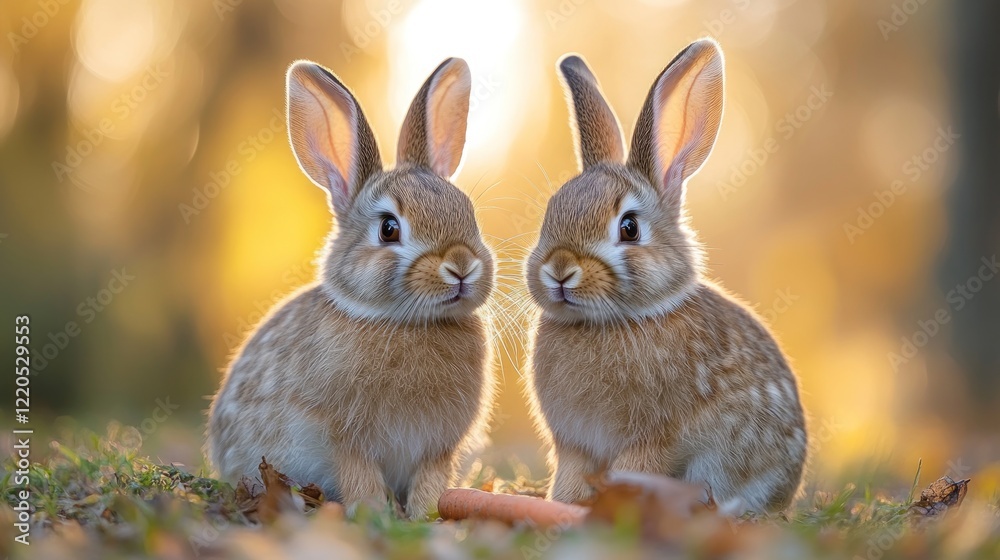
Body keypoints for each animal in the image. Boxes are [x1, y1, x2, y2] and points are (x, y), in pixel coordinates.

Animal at [207, 57, 496, 520]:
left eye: (468, 212)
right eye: (389, 229)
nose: (461, 266)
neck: (409, 322)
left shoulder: (436, 447)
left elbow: (431, 480)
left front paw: (427, 515)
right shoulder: (346, 436)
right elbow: (359, 473)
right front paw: (373, 512)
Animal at [524, 39, 807, 514]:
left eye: (629, 228)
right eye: (550, 213)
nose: (560, 270)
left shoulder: (655, 438)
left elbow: (635, 468)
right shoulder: (575, 445)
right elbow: (572, 474)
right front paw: (565, 503)